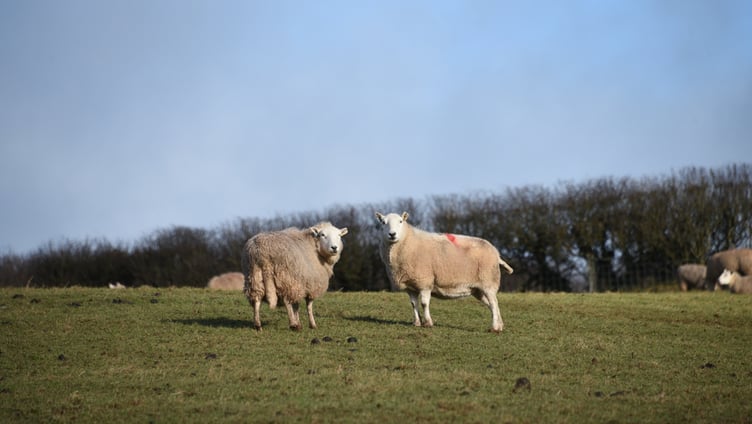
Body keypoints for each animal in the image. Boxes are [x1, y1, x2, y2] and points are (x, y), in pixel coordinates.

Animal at [375, 211, 514, 333]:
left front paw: (428, 323)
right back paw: (500, 326)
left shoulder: (425, 281)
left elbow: (424, 303)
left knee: (494, 303)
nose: (392, 234)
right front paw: (417, 323)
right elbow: (414, 304)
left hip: (488, 281)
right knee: (492, 304)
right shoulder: (410, 285)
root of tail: (496, 253)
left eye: (400, 221)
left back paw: (494, 328)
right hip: (478, 289)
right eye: (383, 222)